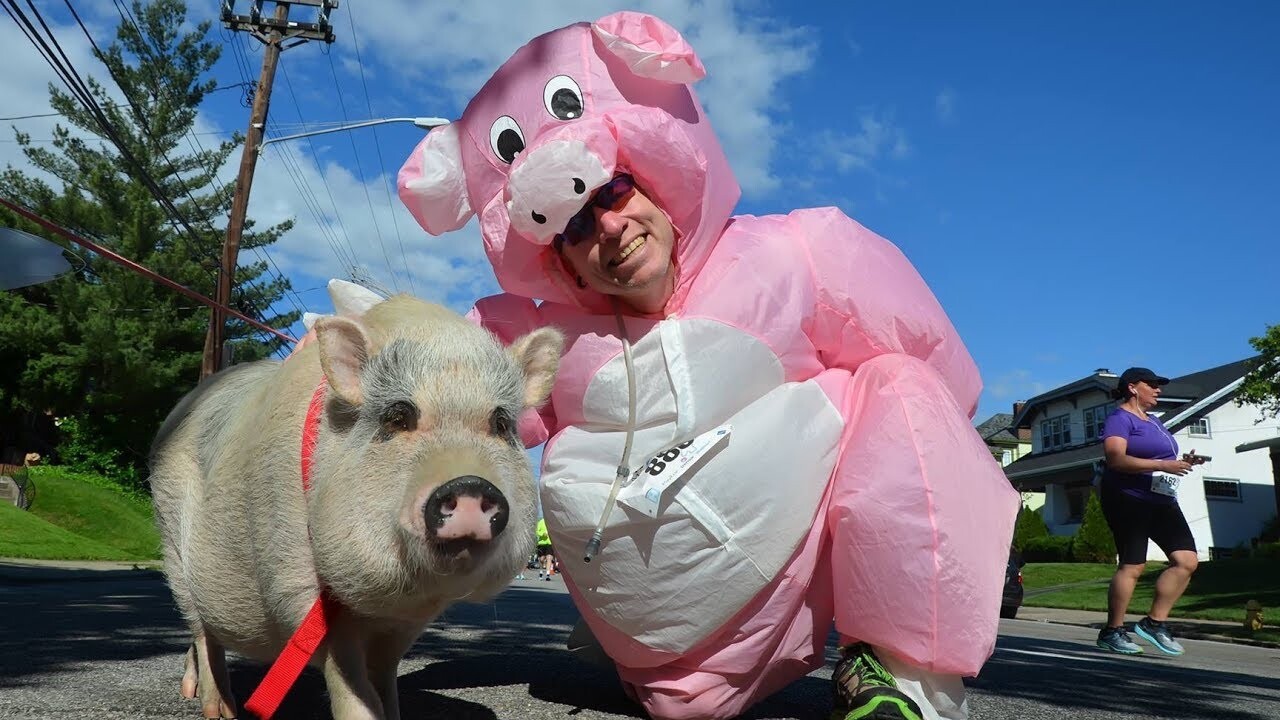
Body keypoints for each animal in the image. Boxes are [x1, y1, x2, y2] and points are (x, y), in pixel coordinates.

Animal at [148, 294, 563, 720]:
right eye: (398, 416)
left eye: (501, 423)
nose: (469, 483)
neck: (385, 599)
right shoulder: (296, 585)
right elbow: (348, 681)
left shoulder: (404, 621)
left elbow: (385, 676)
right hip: (172, 546)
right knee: (202, 631)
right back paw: (218, 709)